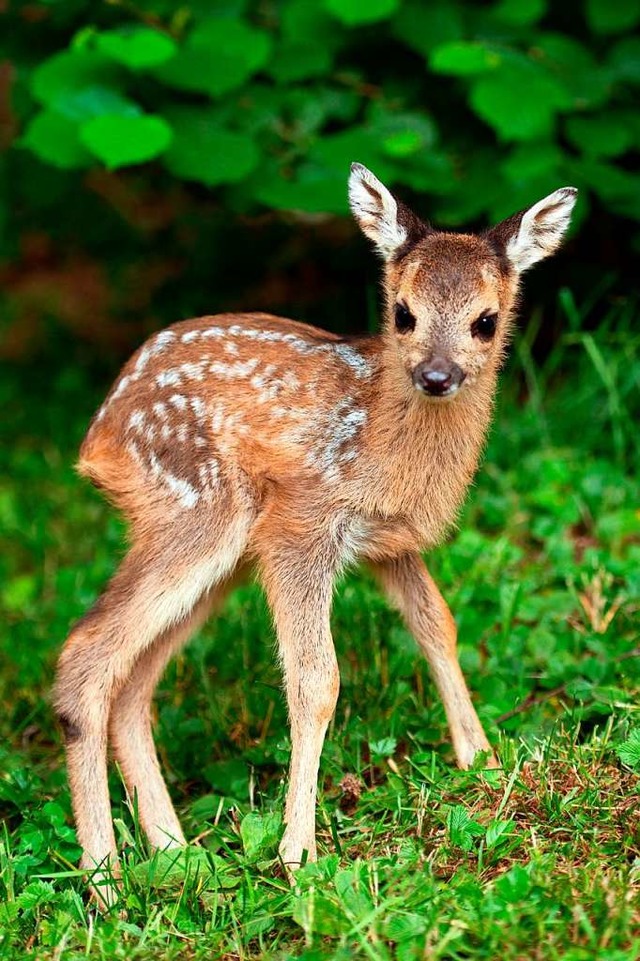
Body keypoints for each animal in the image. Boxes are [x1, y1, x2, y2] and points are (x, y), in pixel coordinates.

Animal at [52, 161, 576, 904]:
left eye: (486, 320)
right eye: (403, 312)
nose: (437, 375)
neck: (382, 441)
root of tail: (99, 434)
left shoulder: (389, 544)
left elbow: (438, 626)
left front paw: (482, 761)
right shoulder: (303, 527)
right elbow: (315, 679)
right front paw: (297, 852)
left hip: (219, 559)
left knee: (132, 684)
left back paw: (178, 855)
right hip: (200, 511)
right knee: (87, 654)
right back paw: (107, 880)